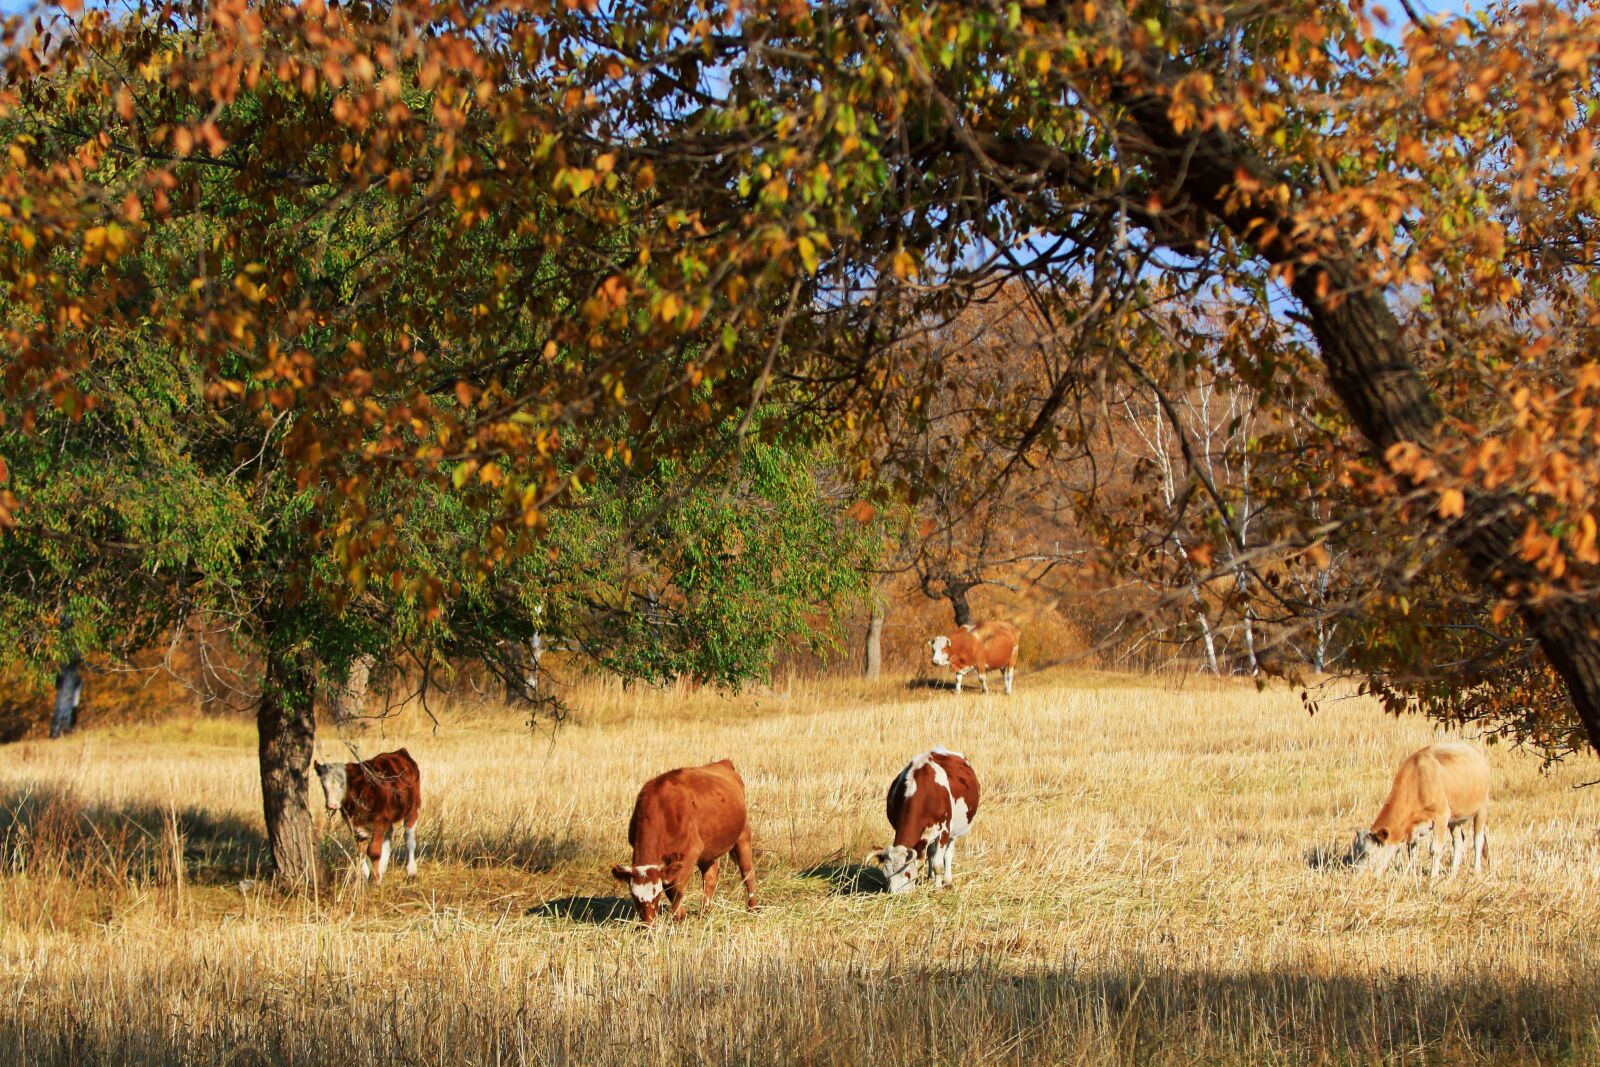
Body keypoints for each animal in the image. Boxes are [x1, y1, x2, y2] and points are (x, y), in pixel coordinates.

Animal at [312, 742, 422, 883]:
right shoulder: (354, 825)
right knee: (388, 838)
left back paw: (411, 871)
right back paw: (382, 869)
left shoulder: (379, 821)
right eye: (323, 784)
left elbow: (374, 851)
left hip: (413, 809)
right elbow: (361, 851)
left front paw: (375, 880)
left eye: (342, 783)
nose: (331, 805)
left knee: (409, 840)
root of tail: (400, 752)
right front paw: (364, 877)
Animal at [611, 758, 761, 927]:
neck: (662, 809)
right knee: (710, 878)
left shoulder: (691, 852)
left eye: (657, 895)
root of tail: (723, 763)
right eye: (634, 896)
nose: (648, 924)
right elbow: (670, 885)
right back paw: (704, 912)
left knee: (747, 872)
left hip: (743, 835)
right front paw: (681, 914)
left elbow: (675, 887)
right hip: (708, 849)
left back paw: (752, 908)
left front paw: (678, 917)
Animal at [870, 751, 979, 895]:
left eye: (907, 874)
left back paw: (947, 881)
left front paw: (938, 890)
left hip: (953, 832)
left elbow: (938, 865)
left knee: (948, 854)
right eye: (885, 874)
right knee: (931, 853)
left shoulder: (943, 832)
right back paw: (930, 877)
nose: (896, 895)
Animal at [1356, 739, 1491, 883]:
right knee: (1458, 842)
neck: (1418, 782)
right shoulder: (1413, 827)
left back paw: (1476, 872)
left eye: (1367, 853)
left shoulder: (1441, 817)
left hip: (1482, 809)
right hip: (1455, 820)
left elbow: (1435, 850)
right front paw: (1412, 874)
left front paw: (1433, 877)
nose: (1358, 877)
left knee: (1478, 841)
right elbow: (1411, 851)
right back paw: (1452, 875)